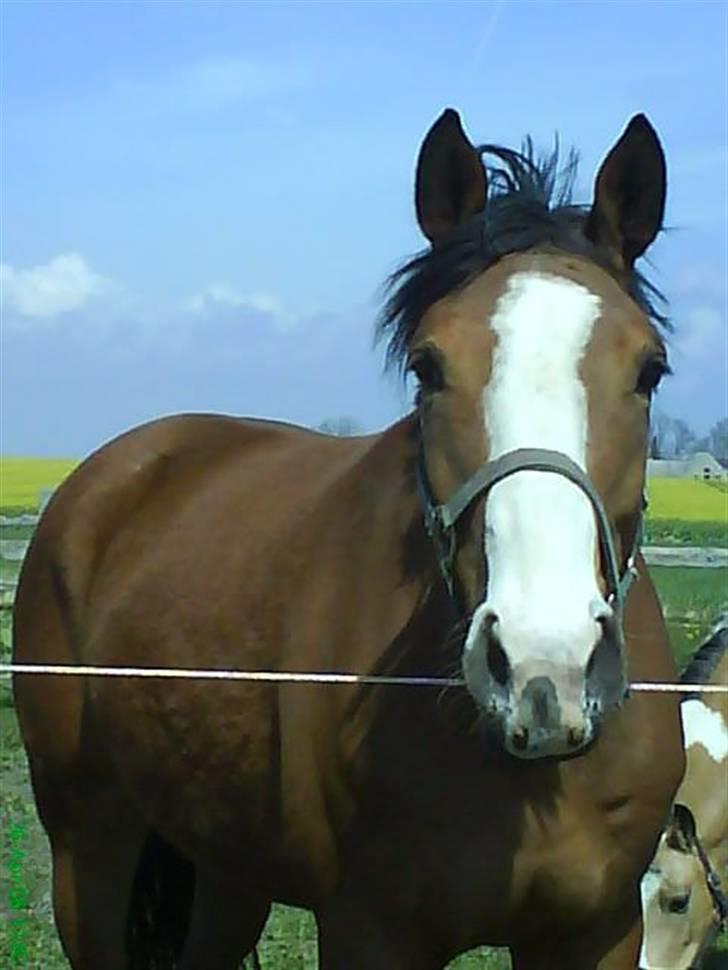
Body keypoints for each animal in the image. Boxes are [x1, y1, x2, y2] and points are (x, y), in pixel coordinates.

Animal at [11, 109, 684, 964]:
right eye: (429, 367)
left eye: (650, 369)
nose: (544, 666)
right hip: (88, 844)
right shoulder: (370, 929)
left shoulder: (598, 929)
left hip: (225, 868)